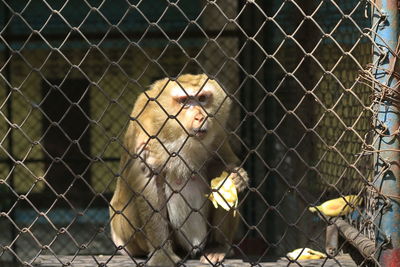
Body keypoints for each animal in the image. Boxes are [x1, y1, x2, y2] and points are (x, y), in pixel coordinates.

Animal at [108, 74, 247, 266]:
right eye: (184, 101)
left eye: (202, 98)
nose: (200, 117)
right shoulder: (145, 131)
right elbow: (147, 179)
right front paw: (162, 254)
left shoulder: (218, 133)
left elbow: (225, 162)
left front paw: (238, 177)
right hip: (129, 237)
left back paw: (218, 246)